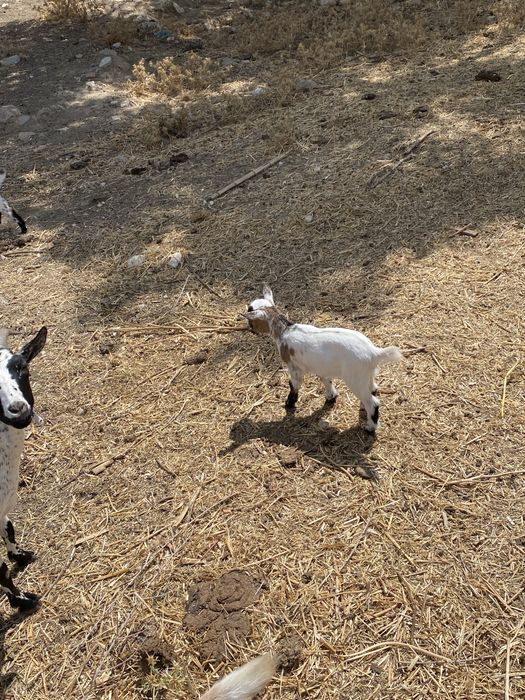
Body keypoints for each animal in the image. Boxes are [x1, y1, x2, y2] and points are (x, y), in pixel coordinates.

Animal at [243, 286, 402, 433]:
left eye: (250, 316)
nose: (250, 329)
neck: (284, 330)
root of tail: (374, 353)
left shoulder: (294, 368)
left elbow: (293, 385)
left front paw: (289, 403)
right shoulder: (321, 367)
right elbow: (326, 380)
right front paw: (331, 397)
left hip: (354, 378)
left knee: (373, 402)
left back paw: (370, 427)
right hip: (367, 374)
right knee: (373, 389)